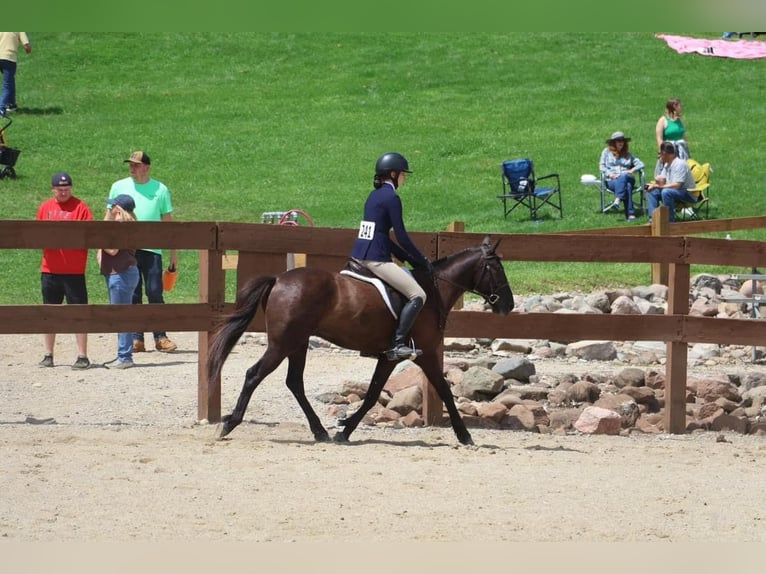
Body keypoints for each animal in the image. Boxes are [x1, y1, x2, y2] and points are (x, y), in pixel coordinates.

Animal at [207, 236, 512, 448]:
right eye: (497, 269)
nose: (508, 305)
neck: (433, 290)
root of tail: (279, 279)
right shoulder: (423, 355)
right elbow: (444, 391)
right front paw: (465, 435)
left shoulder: (389, 357)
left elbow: (373, 393)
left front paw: (344, 429)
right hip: (282, 343)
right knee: (254, 374)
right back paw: (229, 424)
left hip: (298, 343)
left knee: (294, 382)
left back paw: (320, 431)